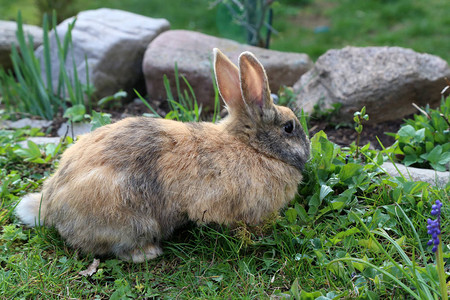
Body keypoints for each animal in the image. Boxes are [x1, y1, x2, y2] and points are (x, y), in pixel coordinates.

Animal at [14, 48, 310, 262]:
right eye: (289, 127)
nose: (307, 152)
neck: (253, 147)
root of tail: (50, 207)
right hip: (132, 219)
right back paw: (148, 252)